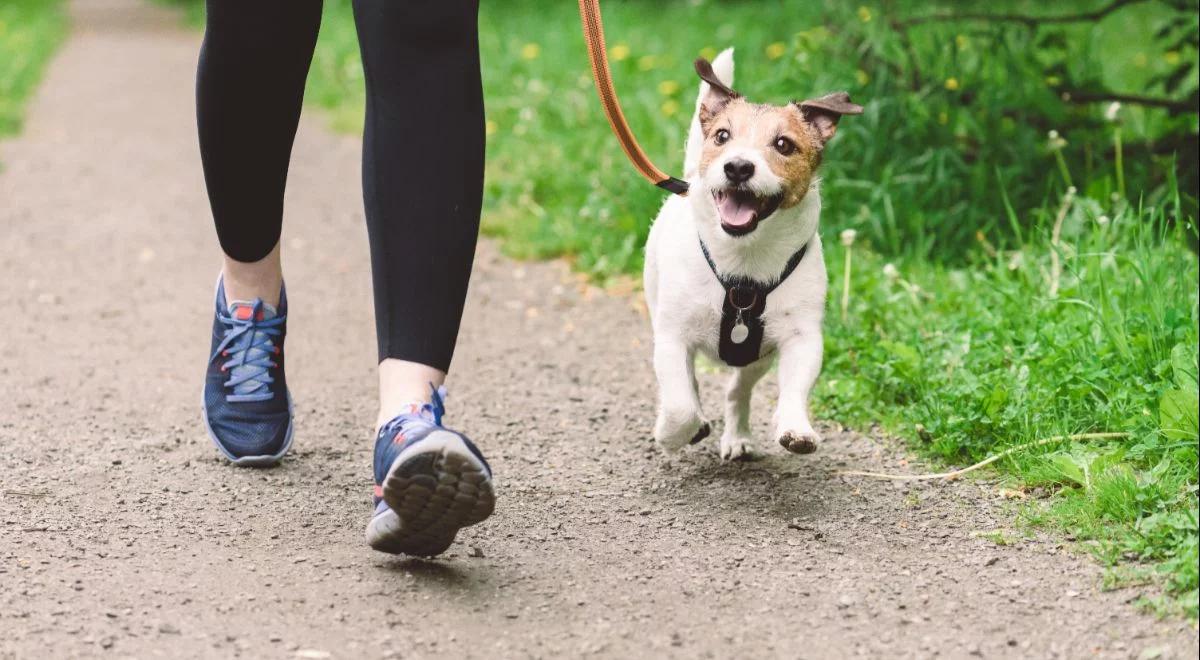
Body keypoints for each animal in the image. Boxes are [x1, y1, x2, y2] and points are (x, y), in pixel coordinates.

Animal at [648, 50, 864, 460]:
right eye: (722, 136)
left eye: (783, 144)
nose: (737, 166)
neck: (744, 263)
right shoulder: (672, 337)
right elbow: (680, 404)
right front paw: (672, 433)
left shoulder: (801, 337)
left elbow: (795, 388)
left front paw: (796, 427)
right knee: (690, 386)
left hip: (756, 358)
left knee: (738, 390)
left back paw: (738, 437)